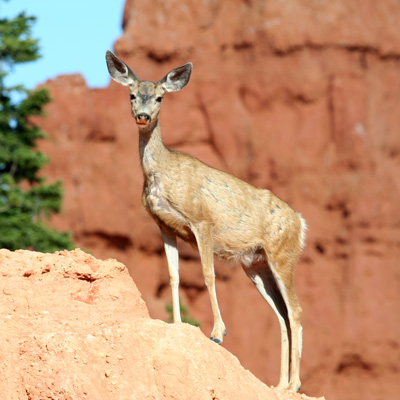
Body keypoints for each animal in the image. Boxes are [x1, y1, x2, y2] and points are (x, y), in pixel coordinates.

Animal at [105, 50, 306, 390]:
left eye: (159, 97)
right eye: (132, 94)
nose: (143, 116)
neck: (161, 173)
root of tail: (301, 223)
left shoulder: (202, 221)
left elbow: (207, 274)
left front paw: (217, 333)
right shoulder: (163, 225)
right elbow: (174, 275)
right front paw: (176, 322)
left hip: (283, 255)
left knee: (295, 310)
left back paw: (294, 385)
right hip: (256, 264)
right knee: (281, 314)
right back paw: (279, 385)